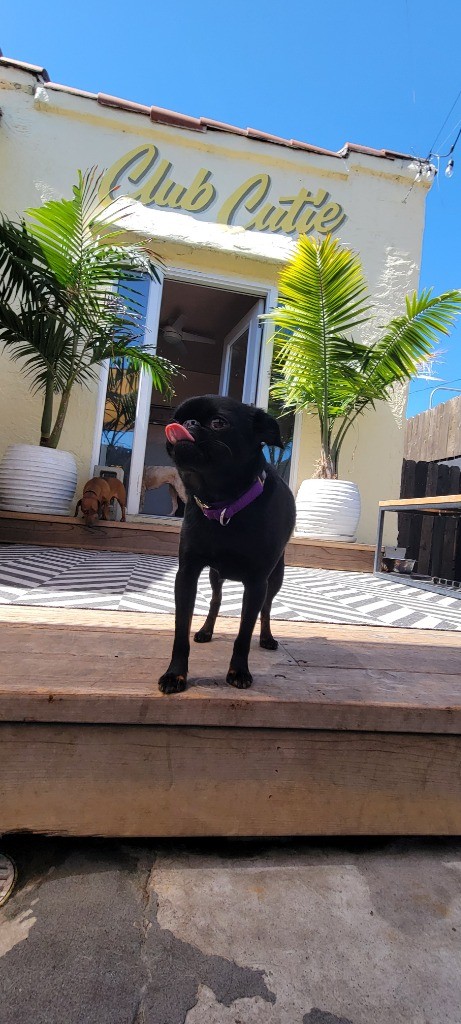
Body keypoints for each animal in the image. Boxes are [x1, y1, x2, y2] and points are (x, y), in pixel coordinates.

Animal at [158, 394, 296, 694]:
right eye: (176, 418)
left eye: (218, 423)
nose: (188, 422)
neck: (224, 505)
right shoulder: (187, 575)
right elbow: (180, 630)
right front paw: (175, 674)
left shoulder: (257, 583)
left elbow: (244, 633)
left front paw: (239, 671)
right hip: (215, 575)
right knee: (216, 601)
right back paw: (206, 630)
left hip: (275, 578)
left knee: (266, 609)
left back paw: (266, 638)